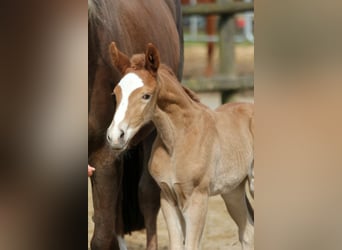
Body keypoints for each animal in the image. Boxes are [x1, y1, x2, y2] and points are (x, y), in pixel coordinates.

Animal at [107, 42, 254, 249]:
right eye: (115, 94)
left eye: (146, 95)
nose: (115, 136)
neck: (177, 140)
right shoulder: (168, 197)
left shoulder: (197, 198)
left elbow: (191, 245)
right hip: (232, 190)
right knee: (247, 229)